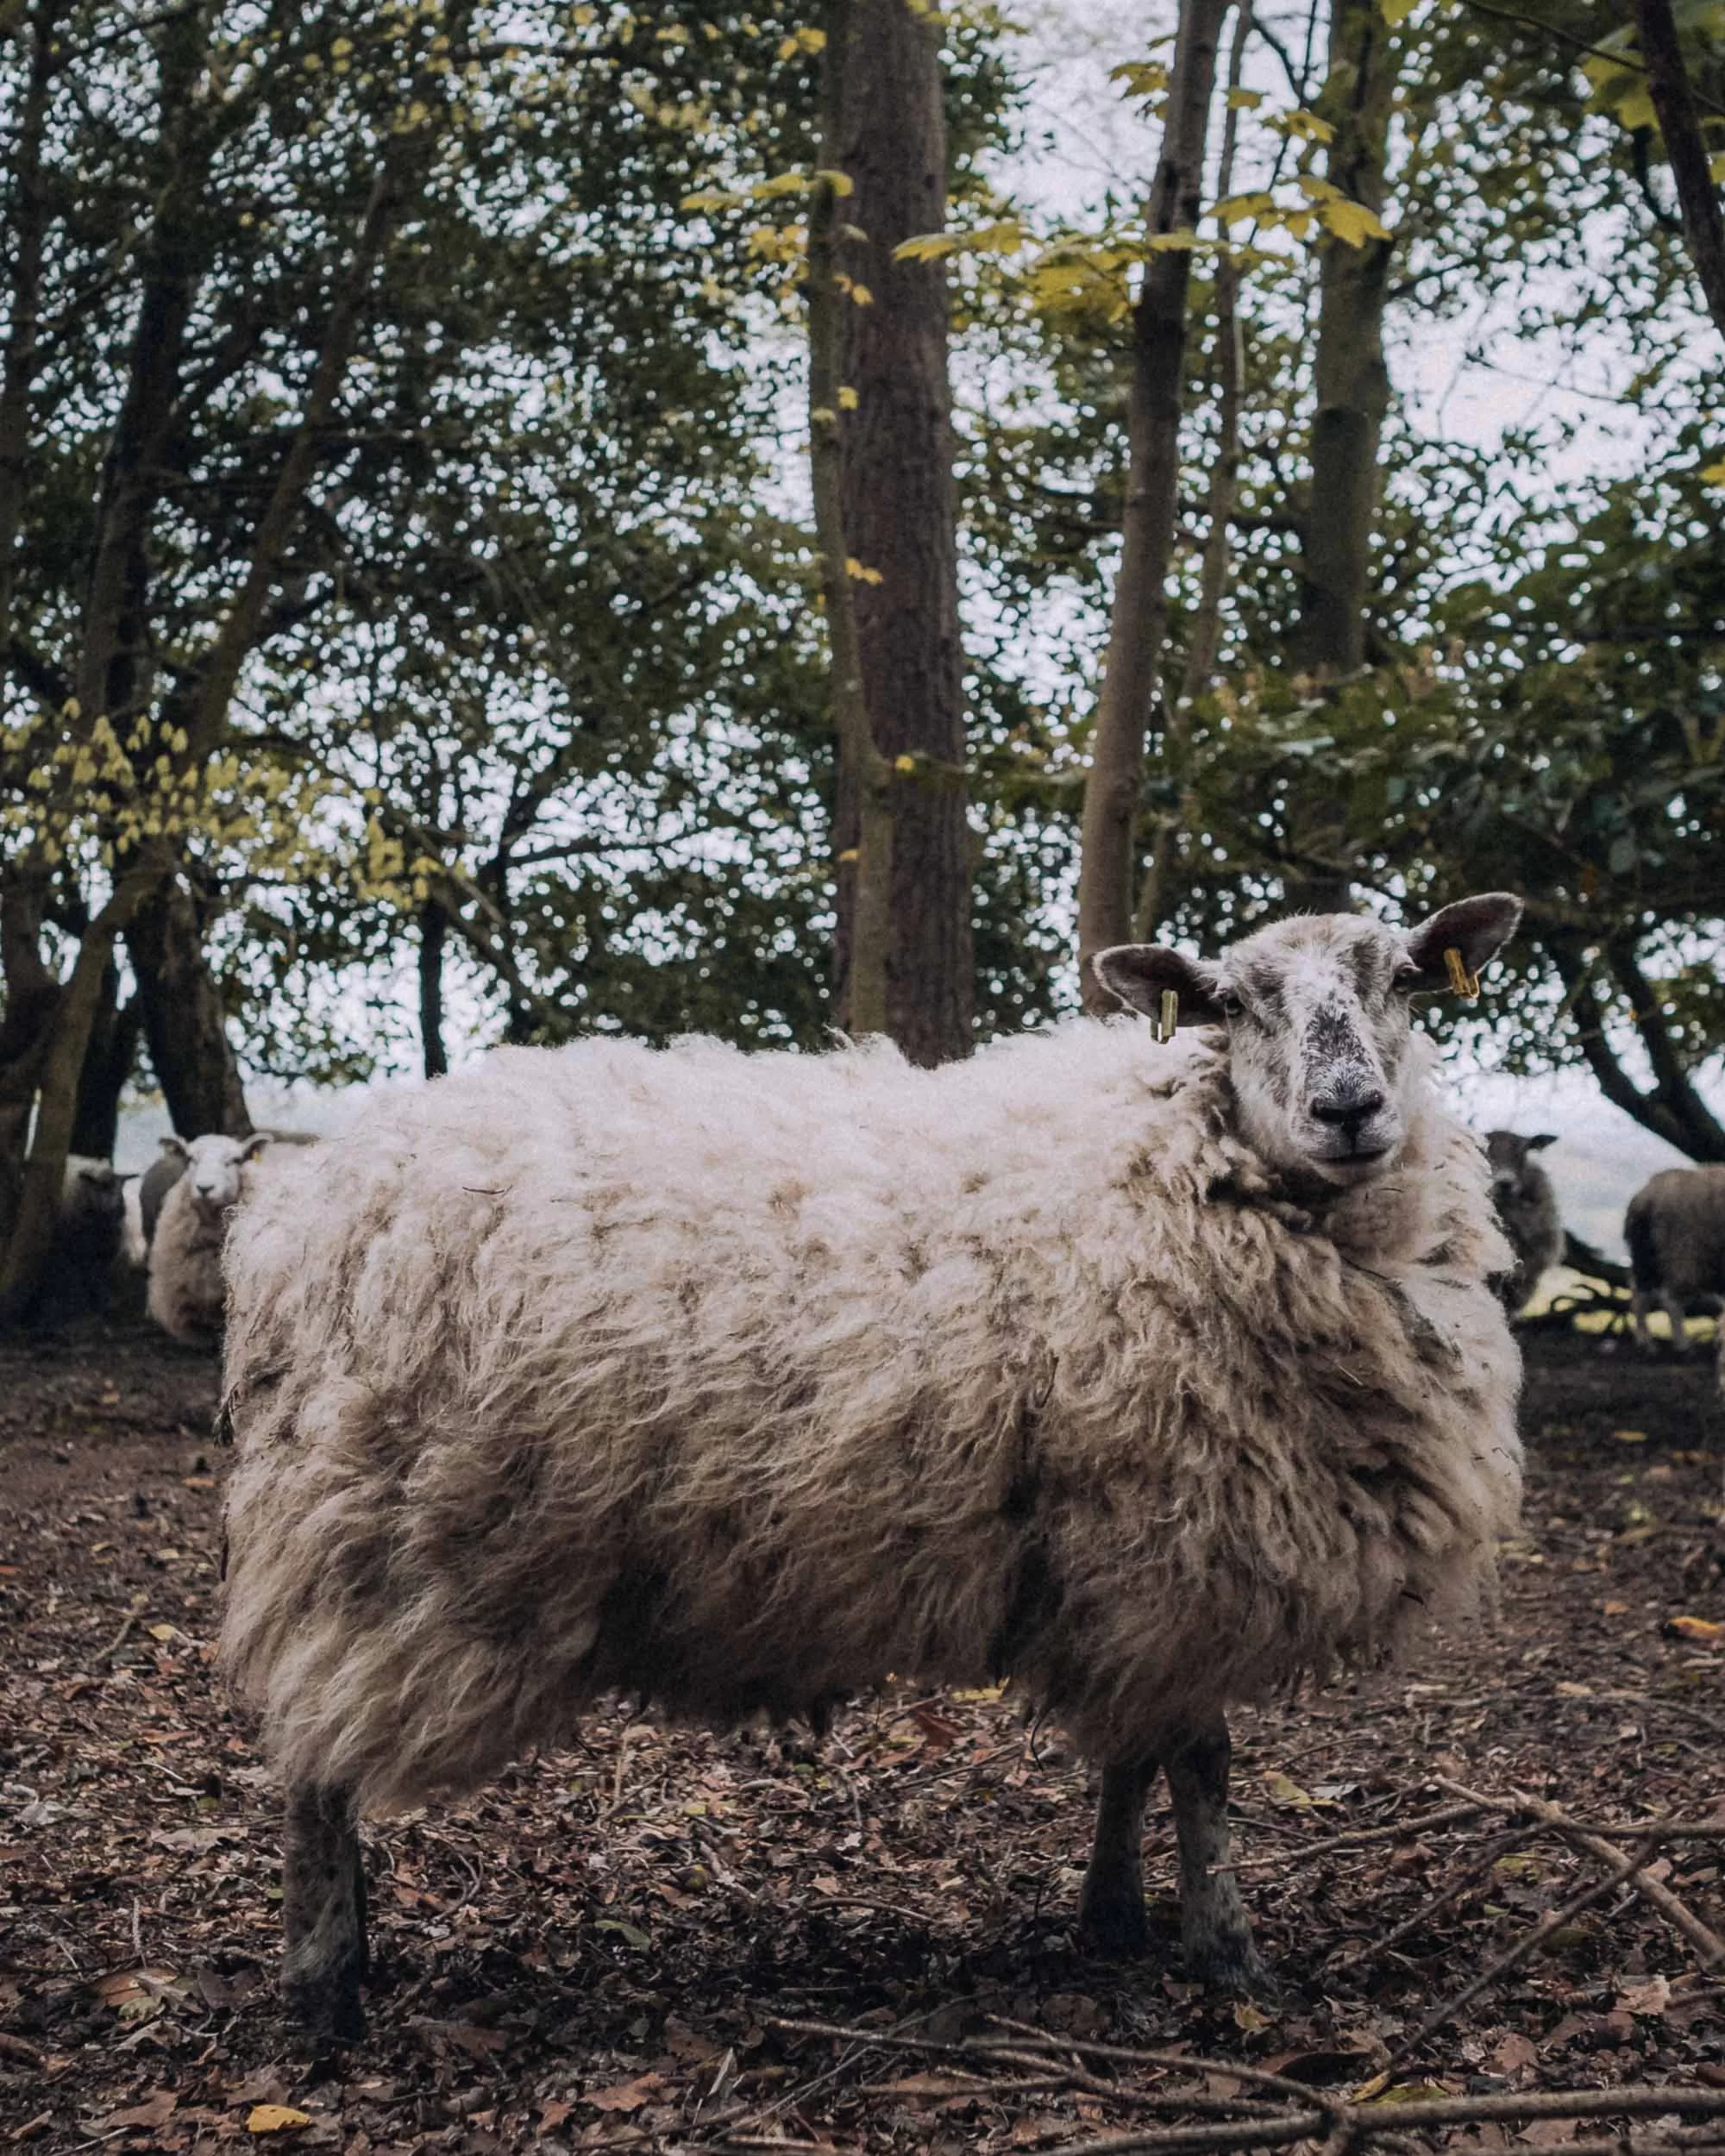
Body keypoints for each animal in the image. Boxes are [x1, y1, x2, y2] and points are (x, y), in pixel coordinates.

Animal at [220, 894, 1526, 2039]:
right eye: (1235, 1002)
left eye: (1401, 979)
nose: (1351, 1107)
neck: (1179, 1157)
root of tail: (302, 1213)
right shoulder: (1185, 1536)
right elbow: (1200, 1763)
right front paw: (1231, 1956)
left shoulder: (1129, 1571)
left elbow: (1135, 1752)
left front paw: (1113, 1917)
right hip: (382, 1550)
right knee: (315, 1771)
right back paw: (324, 1991)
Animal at [1625, 1166, 1725, 1374]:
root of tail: (1645, 1195)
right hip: (1683, 1251)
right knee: (1670, 1299)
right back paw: (1682, 1346)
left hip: (1647, 1256)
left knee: (1640, 1295)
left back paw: (1646, 1344)